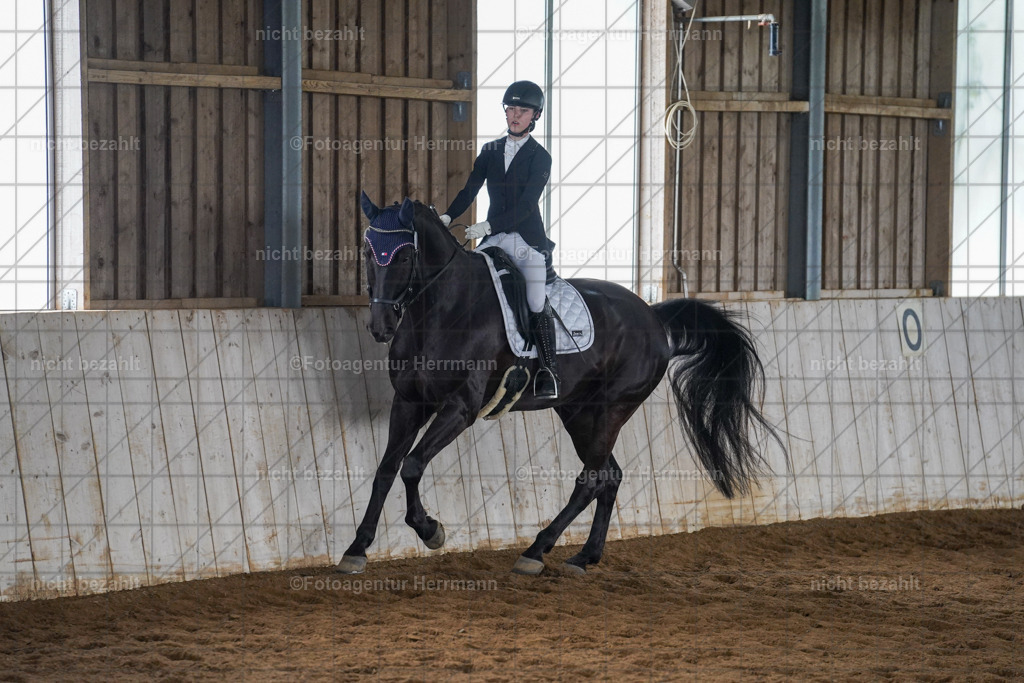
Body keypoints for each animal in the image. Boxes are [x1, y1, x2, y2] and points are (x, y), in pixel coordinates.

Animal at [337, 194, 785, 575]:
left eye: (403, 254)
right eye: (368, 252)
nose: (380, 327)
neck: (442, 309)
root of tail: (653, 316)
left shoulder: (460, 408)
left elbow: (412, 465)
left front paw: (431, 530)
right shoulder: (409, 402)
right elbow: (387, 469)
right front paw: (356, 549)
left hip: (612, 408)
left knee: (591, 479)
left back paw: (536, 551)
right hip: (578, 412)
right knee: (609, 475)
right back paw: (584, 556)